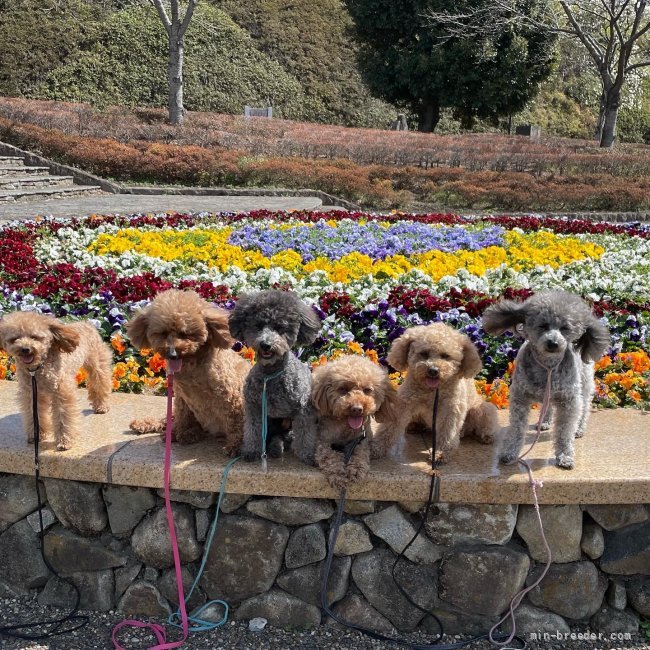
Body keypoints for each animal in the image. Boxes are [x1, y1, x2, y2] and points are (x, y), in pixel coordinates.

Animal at [0, 312, 112, 448]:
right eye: (15, 339)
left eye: (35, 337)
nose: (25, 349)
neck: (37, 369)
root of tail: (86, 323)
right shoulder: (31, 393)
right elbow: (34, 414)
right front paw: (36, 435)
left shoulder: (60, 391)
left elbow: (62, 415)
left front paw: (64, 441)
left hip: (97, 363)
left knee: (100, 382)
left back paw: (101, 406)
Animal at [125, 292, 249, 454]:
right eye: (163, 333)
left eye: (185, 333)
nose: (172, 354)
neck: (192, 367)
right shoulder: (182, 397)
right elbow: (182, 417)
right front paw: (181, 432)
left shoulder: (230, 397)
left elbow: (236, 422)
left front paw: (236, 446)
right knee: (170, 419)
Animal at [308, 354, 394, 486]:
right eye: (343, 389)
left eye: (367, 390)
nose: (357, 409)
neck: (345, 427)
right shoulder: (322, 441)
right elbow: (329, 456)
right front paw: (338, 473)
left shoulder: (361, 440)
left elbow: (360, 454)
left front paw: (356, 470)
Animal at [370, 324, 496, 460]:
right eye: (424, 353)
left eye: (446, 356)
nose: (433, 370)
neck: (432, 391)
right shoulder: (403, 404)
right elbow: (389, 429)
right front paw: (375, 448)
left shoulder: (450, 409)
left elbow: (447, 432)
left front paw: (441, 453)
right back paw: (415, 426)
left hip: (482, 410)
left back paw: (485, 436)